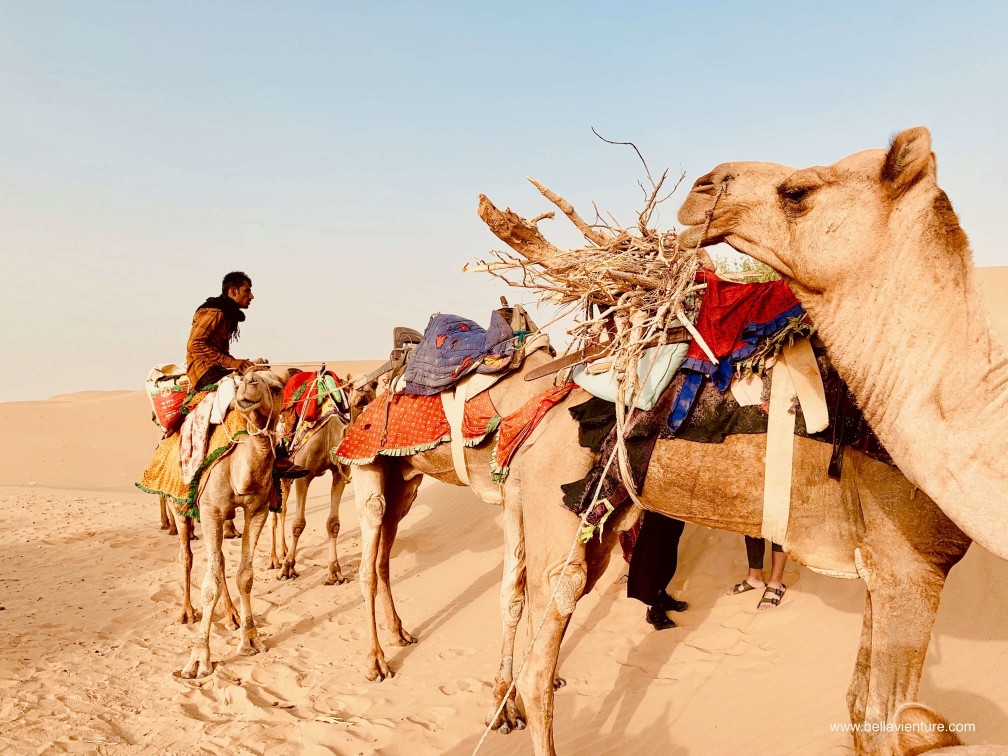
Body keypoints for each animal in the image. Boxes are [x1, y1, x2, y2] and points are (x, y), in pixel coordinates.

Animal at [179, 368, 288, 679]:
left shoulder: (258, 509)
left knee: (220, 562)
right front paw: (199, 660)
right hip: (181, 507)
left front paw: (250, 640)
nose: (248, 382)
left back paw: (232, 616)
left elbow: (245, 576)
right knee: (187, 556)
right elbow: (210, 585)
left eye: (277, 387)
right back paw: (188, 613)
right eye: (240, 384)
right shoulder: (211, 510)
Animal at [347, 339, 970, 755]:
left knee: (403, 555)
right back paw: (380, 662)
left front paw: (502, 706)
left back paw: (420, 647)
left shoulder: (888, 573)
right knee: (382, 554)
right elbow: (891, 723)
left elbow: (862, 705)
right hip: (390, 469)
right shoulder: (911, 567)